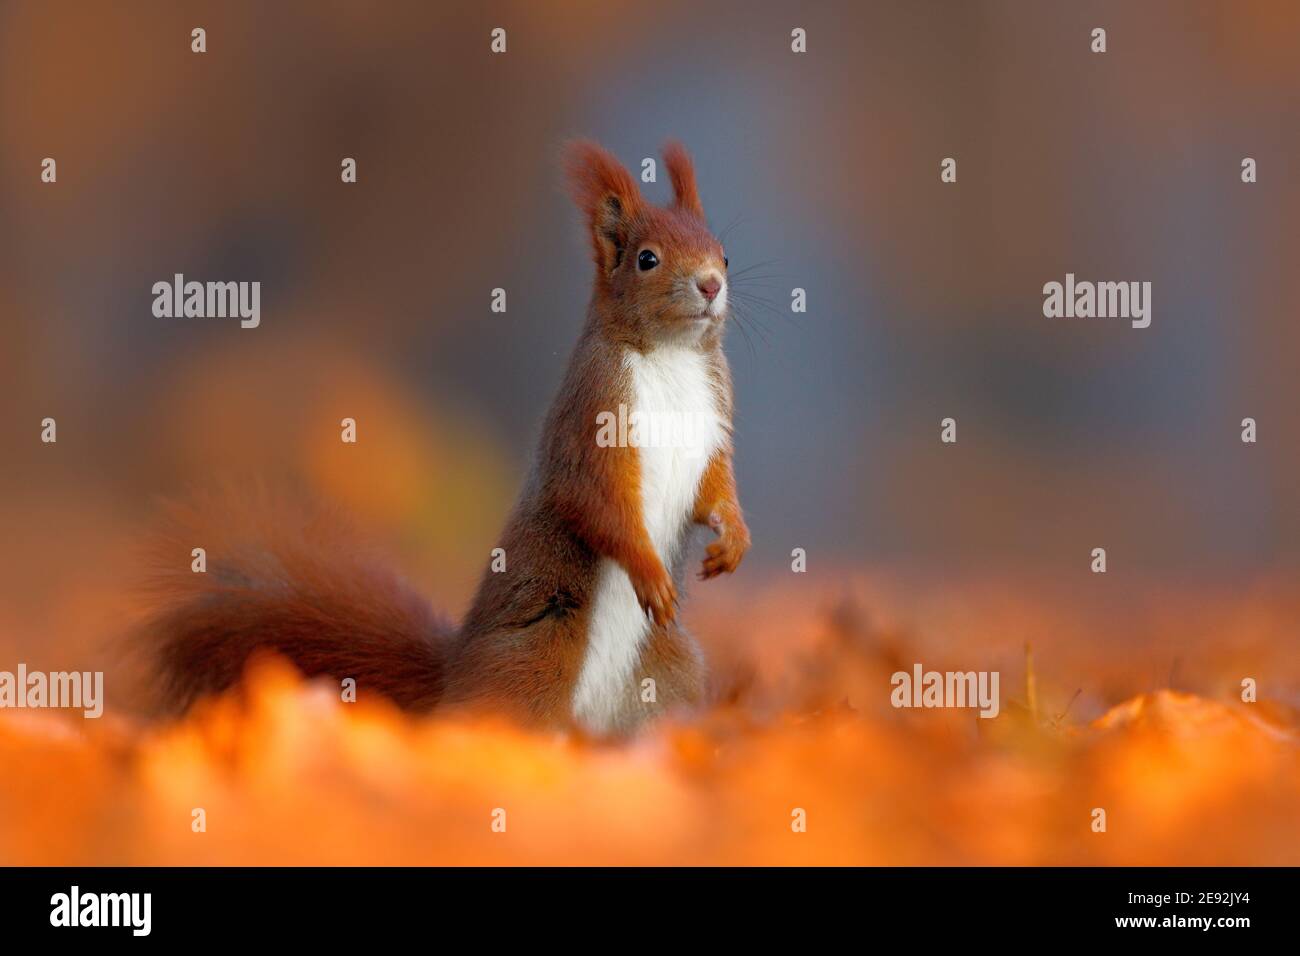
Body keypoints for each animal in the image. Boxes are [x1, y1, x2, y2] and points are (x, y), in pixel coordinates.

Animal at [143, 141, 748, 738]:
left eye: (723, 254)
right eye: (647, 259)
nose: (711, 285)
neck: (669, 354)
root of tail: (453, 675)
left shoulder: (712, 420)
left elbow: (713, 489)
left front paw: (733, 539)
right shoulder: (594, 416)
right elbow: (595, 501)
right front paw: (651, 573)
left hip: (667, 675)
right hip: (535, 659)